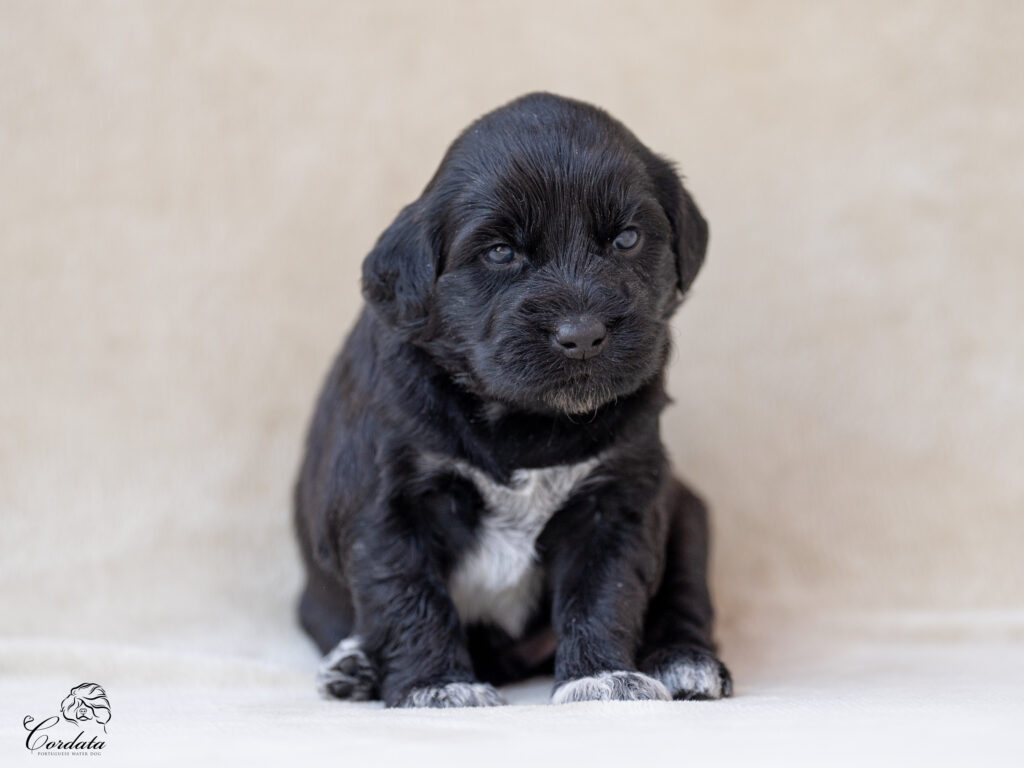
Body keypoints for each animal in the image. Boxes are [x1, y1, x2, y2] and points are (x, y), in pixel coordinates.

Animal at [293, 92, 731, 707]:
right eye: (500, 252)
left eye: (627, 239)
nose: (582, 334)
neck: (525, 422)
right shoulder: (384, 504)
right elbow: (408, 598)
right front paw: (437, 686)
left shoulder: (617, 500)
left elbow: (606, 591)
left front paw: (603, 677)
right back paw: (353, 666)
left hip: (688, 512)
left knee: (685, 594)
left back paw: (685, 660)